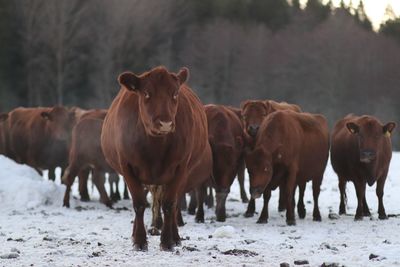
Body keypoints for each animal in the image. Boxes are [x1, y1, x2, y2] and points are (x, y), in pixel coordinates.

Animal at [101, 66, 212, 251]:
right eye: (146, 93)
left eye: (175, 93)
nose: (165, 123)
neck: (155, 147)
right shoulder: (127, 167)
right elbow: (139, 203)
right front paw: (139, 240)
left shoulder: (180, 169)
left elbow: (169, 204)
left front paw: (167, 241)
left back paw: (175, 236)